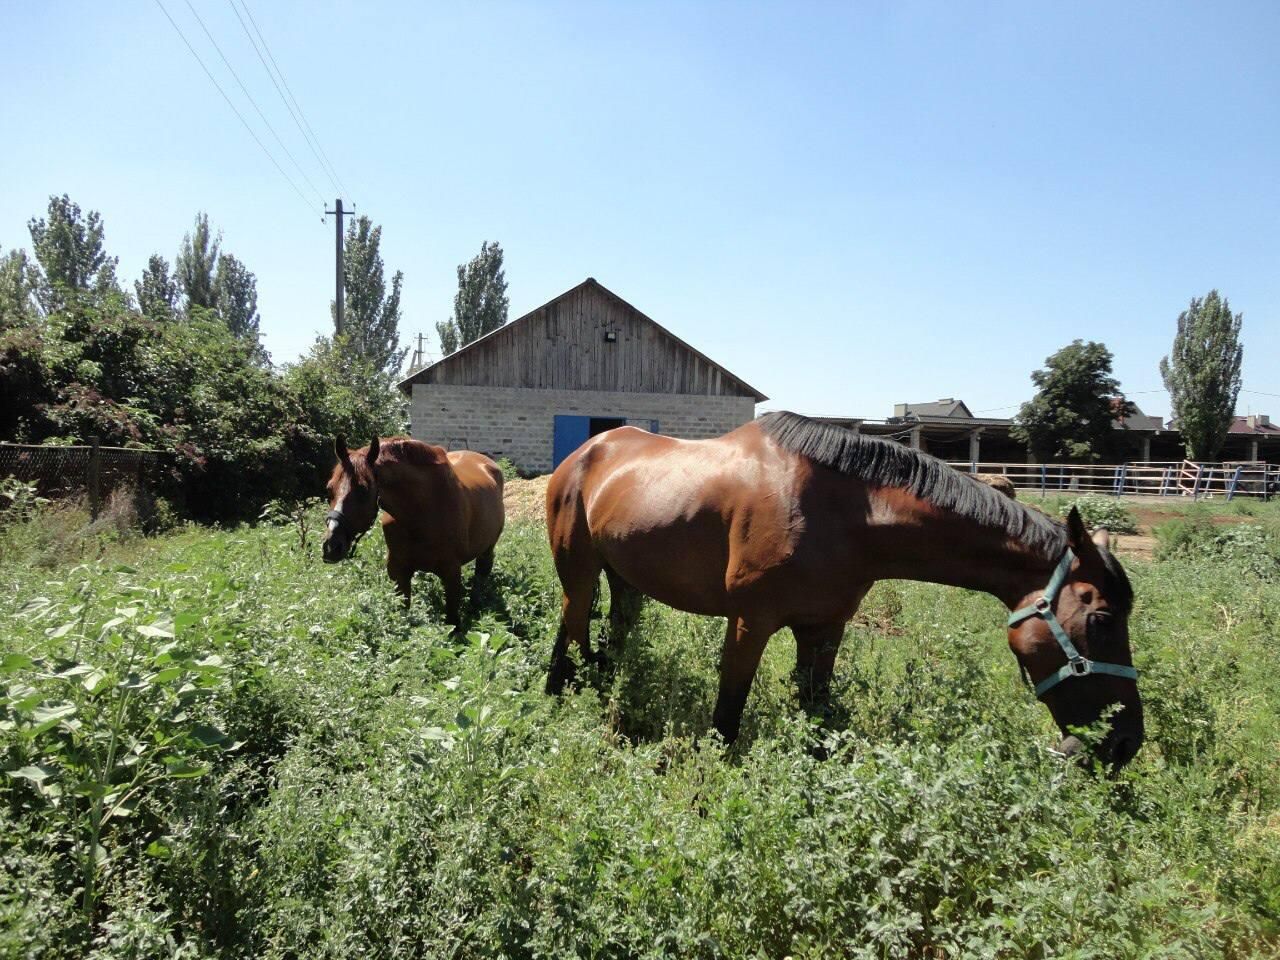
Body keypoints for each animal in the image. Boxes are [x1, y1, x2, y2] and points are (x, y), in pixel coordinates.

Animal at [322, 435, 505, 624]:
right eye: (329, 488)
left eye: (363, 489)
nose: (331, 546)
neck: (421, 511)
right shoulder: (398, 571)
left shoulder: (452, 573)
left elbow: (452, 621)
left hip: (487, 550)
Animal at [545, 411, 1143, 770]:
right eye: (1102, 619)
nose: (1125, 743)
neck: (844, 512)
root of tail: (586, 453)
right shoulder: (750, 623)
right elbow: (727, 716)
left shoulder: (825, 628)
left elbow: (816, 716)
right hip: (579, 572)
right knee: (569, 630)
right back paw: (558, 698)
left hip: (625, 581)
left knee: (610, 635)